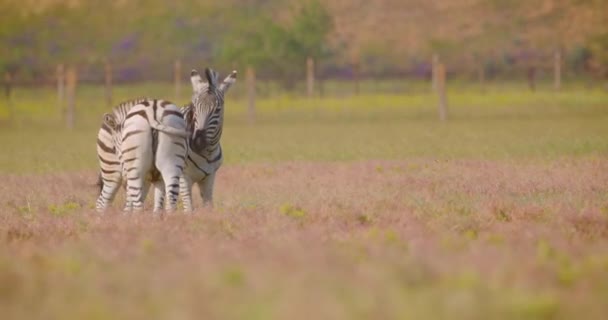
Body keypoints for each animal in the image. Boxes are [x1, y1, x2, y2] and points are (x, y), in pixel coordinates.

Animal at [178, 67, 238, 211]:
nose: (197, 142)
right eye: (194, 108)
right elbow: (189, 209)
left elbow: (209, 206)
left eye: (217, 109)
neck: (207, 153)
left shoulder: (210, 177)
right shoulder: (184, 177)